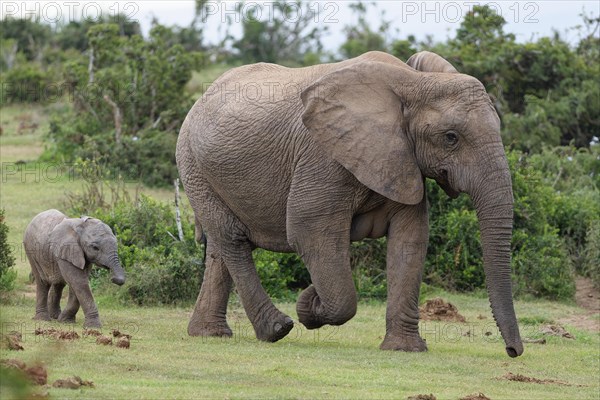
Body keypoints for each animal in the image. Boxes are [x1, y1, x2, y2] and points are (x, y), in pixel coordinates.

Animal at [176, 50, 524, 356]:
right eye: (451, 137)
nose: (513, 351)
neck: (413, 81)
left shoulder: (401, 159)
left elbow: (410, 240)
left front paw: (404, 349)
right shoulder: (323, 156)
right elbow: (309, 232)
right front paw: (310, 301)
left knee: (220, 247)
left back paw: (209, 334)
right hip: (192, 163)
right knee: (232, 238)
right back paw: (276, 329)